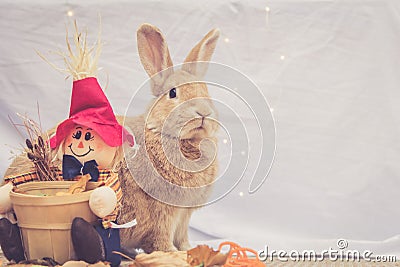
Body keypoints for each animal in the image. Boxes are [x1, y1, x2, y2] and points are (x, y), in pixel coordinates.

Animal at [117, 23, 220, 253]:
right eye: (173, 93)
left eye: (205, 91)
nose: (204, 112)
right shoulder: (164, 211)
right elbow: (162, 234)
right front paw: (170, 252)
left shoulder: (184, 213)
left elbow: (182, 234)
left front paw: (187, 250)